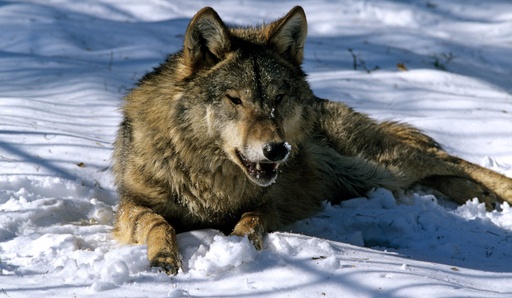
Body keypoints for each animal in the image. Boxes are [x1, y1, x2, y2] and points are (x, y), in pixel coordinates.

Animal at [112, 5, 512, 274]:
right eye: (236, 100)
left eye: (278, 98)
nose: (277, 150)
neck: (210, 177)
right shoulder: (131, 203)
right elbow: (158, 223)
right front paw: (164, 258)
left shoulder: (270, 204)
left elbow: (251, 220)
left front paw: (236, 246)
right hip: (366, 178)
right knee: (435, 173)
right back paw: (481, 197)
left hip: (377, 163)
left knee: (448, 159)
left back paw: (496, 192)